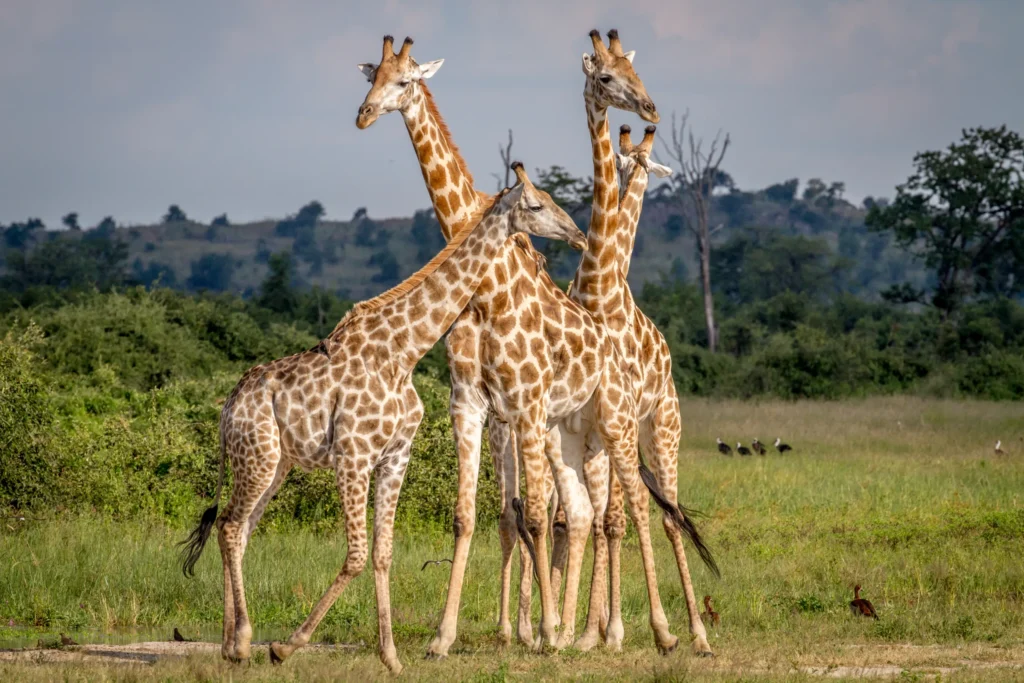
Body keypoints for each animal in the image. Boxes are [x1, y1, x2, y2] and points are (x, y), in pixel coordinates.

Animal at [176, 175, 587, 674]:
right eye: (536, 204)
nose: (578, 234)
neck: (402, 352)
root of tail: (228, 406)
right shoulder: (353, 454)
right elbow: (355, 555)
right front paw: (286, 646)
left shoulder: (395, 457)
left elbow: (383, 553)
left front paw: (390, 656)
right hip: (256, 458)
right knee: (232, 527)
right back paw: (244, 641)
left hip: (273, 465)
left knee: (236, 528)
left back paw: (230, 644)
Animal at [426, 162, 682, 657]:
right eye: (535, 204)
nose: (577, 233)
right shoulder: (470, 406)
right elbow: (475, 514)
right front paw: (444, 636)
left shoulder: (526, 407)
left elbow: (542, 518)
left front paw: (551, 630)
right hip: (567, 438)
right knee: (581, 515)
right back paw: (575, 632)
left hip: (637, 429)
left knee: (643, 510)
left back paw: (670, 633)